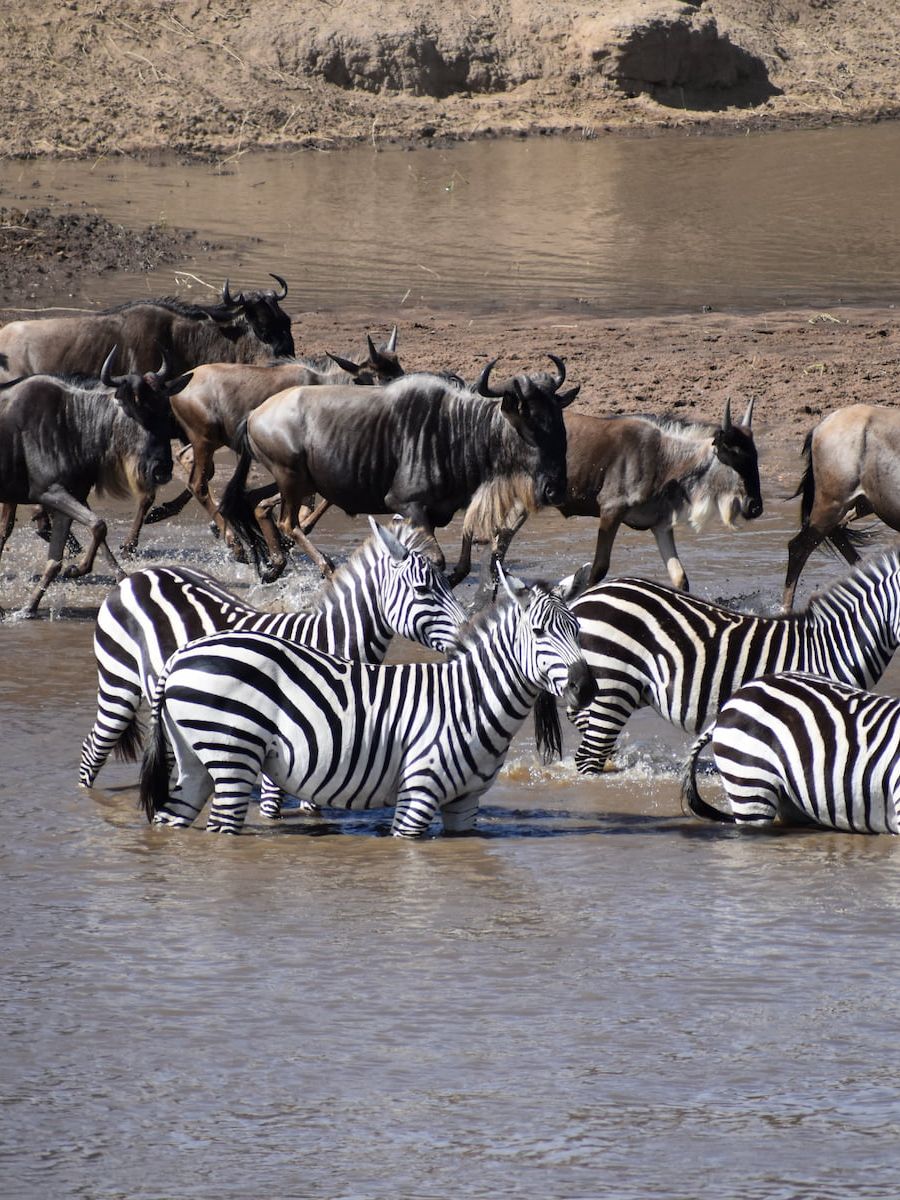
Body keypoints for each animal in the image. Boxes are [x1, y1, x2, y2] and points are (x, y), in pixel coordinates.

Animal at [79, 517, 467, 814]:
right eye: (423, 590)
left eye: (449, 583)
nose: (467, 634)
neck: (331, 644)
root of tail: (138, 576)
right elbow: (271, 810)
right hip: (118, 687)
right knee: (91, 753)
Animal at [138, 569, 596, 837]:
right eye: (538, 632)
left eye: (576, 628)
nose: (587, 687)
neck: (469, 700)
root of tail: (181, 656)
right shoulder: (418, 792)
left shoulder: (465, 804)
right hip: (231, 753)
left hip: (196, 760)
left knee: (171, 816)